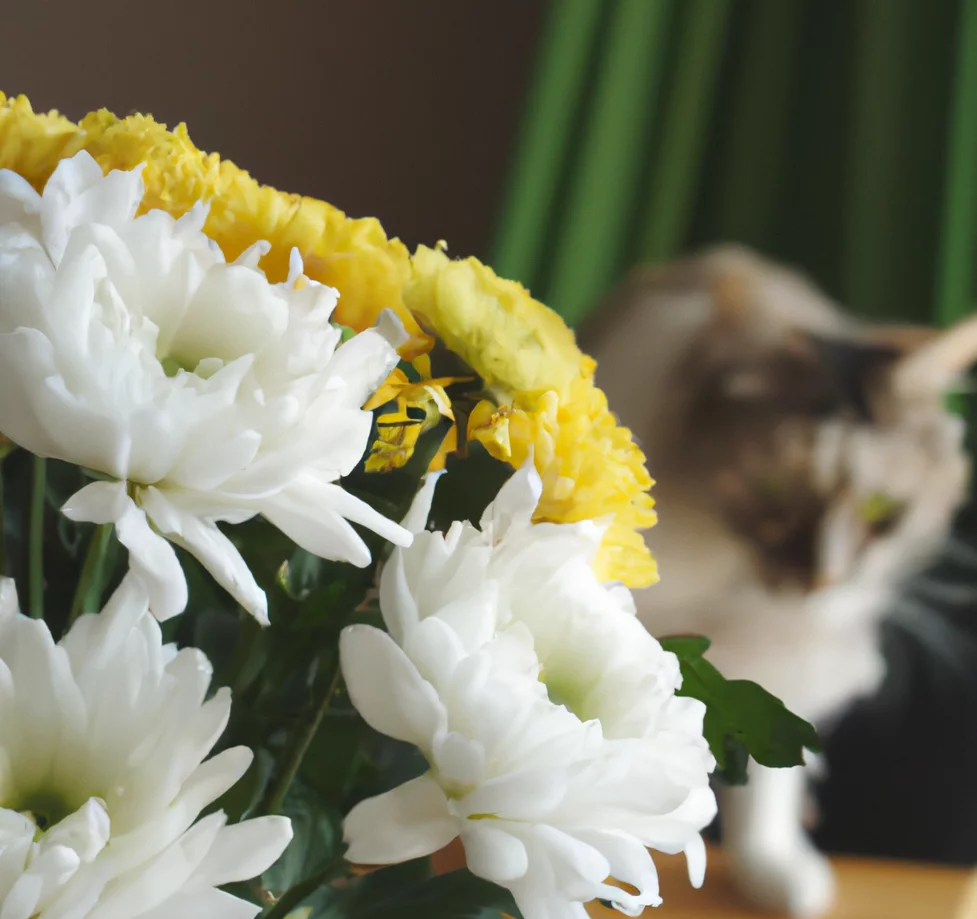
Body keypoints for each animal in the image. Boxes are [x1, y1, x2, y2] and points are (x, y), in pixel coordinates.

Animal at [580, 246, 976, 919]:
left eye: (881, 513)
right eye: (769, 493)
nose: (822, 581)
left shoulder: (776, 666)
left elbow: (767, 783)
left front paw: (776, 871)